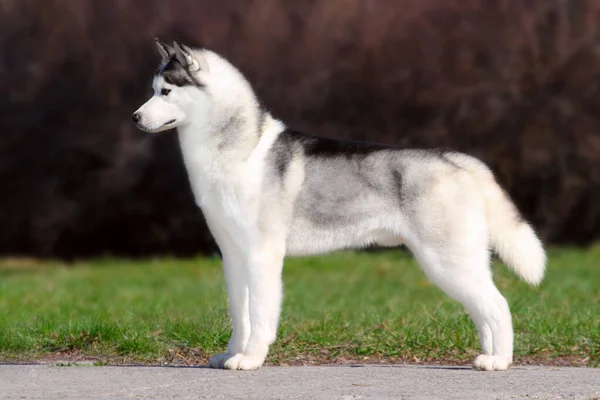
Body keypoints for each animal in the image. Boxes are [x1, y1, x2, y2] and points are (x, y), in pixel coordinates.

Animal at [134, 40, 548, 372]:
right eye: (153, 90)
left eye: (166, 91)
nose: (136, 117)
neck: (234, 151)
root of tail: (455, 158)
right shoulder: (233, 256)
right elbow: (241, 314)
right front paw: (231, 353)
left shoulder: (263, 254)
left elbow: (261, 315)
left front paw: (250, 359)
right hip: (458, 262)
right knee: (484, 309)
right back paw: (488, 356)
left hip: (446, 261)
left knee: (498, 306)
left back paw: (499, 362)